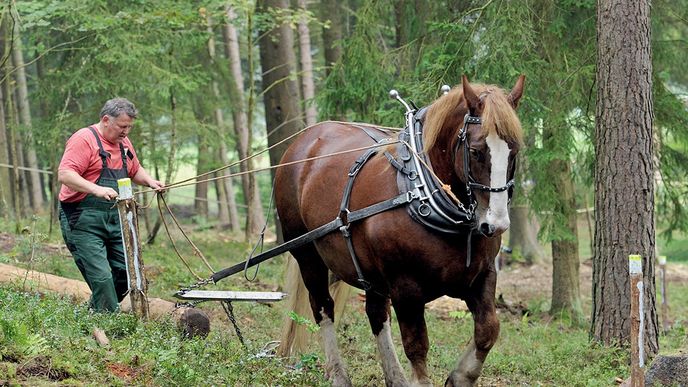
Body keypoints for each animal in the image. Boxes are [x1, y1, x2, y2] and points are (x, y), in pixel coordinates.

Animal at [274, 76, 528, 387]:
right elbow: (417, 346)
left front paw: (460, 376)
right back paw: (338, 375)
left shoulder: (482, 276)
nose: (495, 224)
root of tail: (303, 141)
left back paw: (395, 377)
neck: (421, 192)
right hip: (307, 254)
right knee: (323, 306)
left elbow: (488, 329)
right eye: (476, 151)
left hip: (370, 273)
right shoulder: (406, 289)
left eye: (514, 150)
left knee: (375, 314)